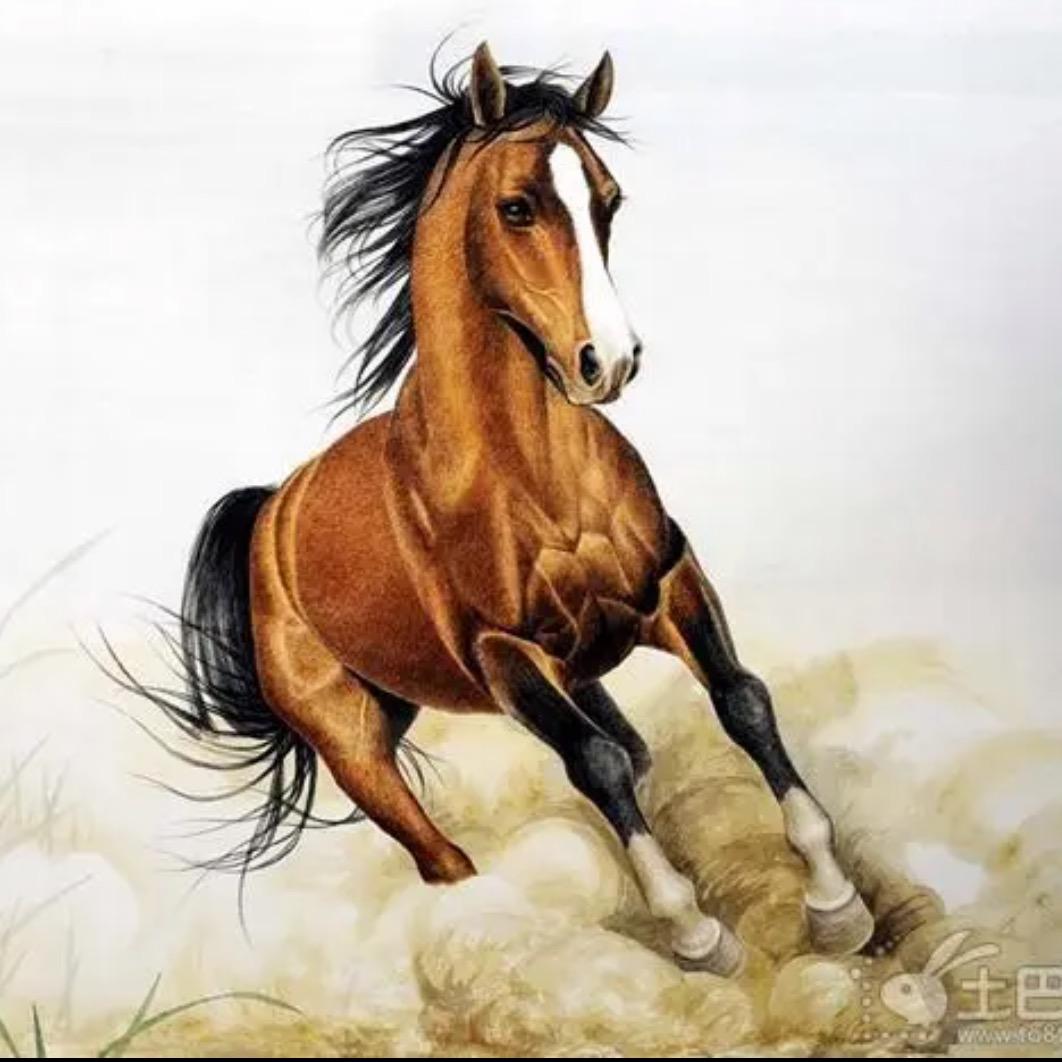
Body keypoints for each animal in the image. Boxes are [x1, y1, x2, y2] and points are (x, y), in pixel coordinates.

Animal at [122, 43, 874, 976]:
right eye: (517, 206)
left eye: (608, 200)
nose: (609, 362)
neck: (534, 476)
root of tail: (270, 513)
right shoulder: (506, 655)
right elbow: (595, 765)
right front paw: (697, 934)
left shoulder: (670, 585)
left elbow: (741, 700)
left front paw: (837, 905)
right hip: (358, 745)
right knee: (449, 851)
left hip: (565, 672)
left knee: (637, 750)